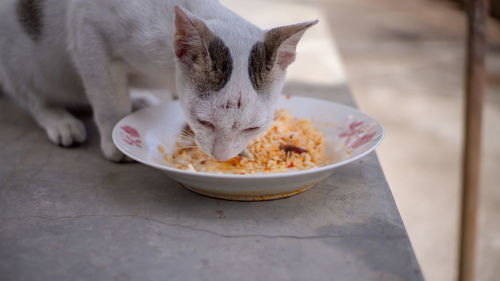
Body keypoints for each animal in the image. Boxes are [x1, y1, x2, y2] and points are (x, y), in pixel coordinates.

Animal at [0, 0, 316, 161]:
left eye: (253, 127)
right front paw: (114, 140)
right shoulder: (89, 33)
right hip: (23, 59)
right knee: (32, 94)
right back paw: (58, 119)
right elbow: (109, 100)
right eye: (204, 122)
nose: (222, 157)